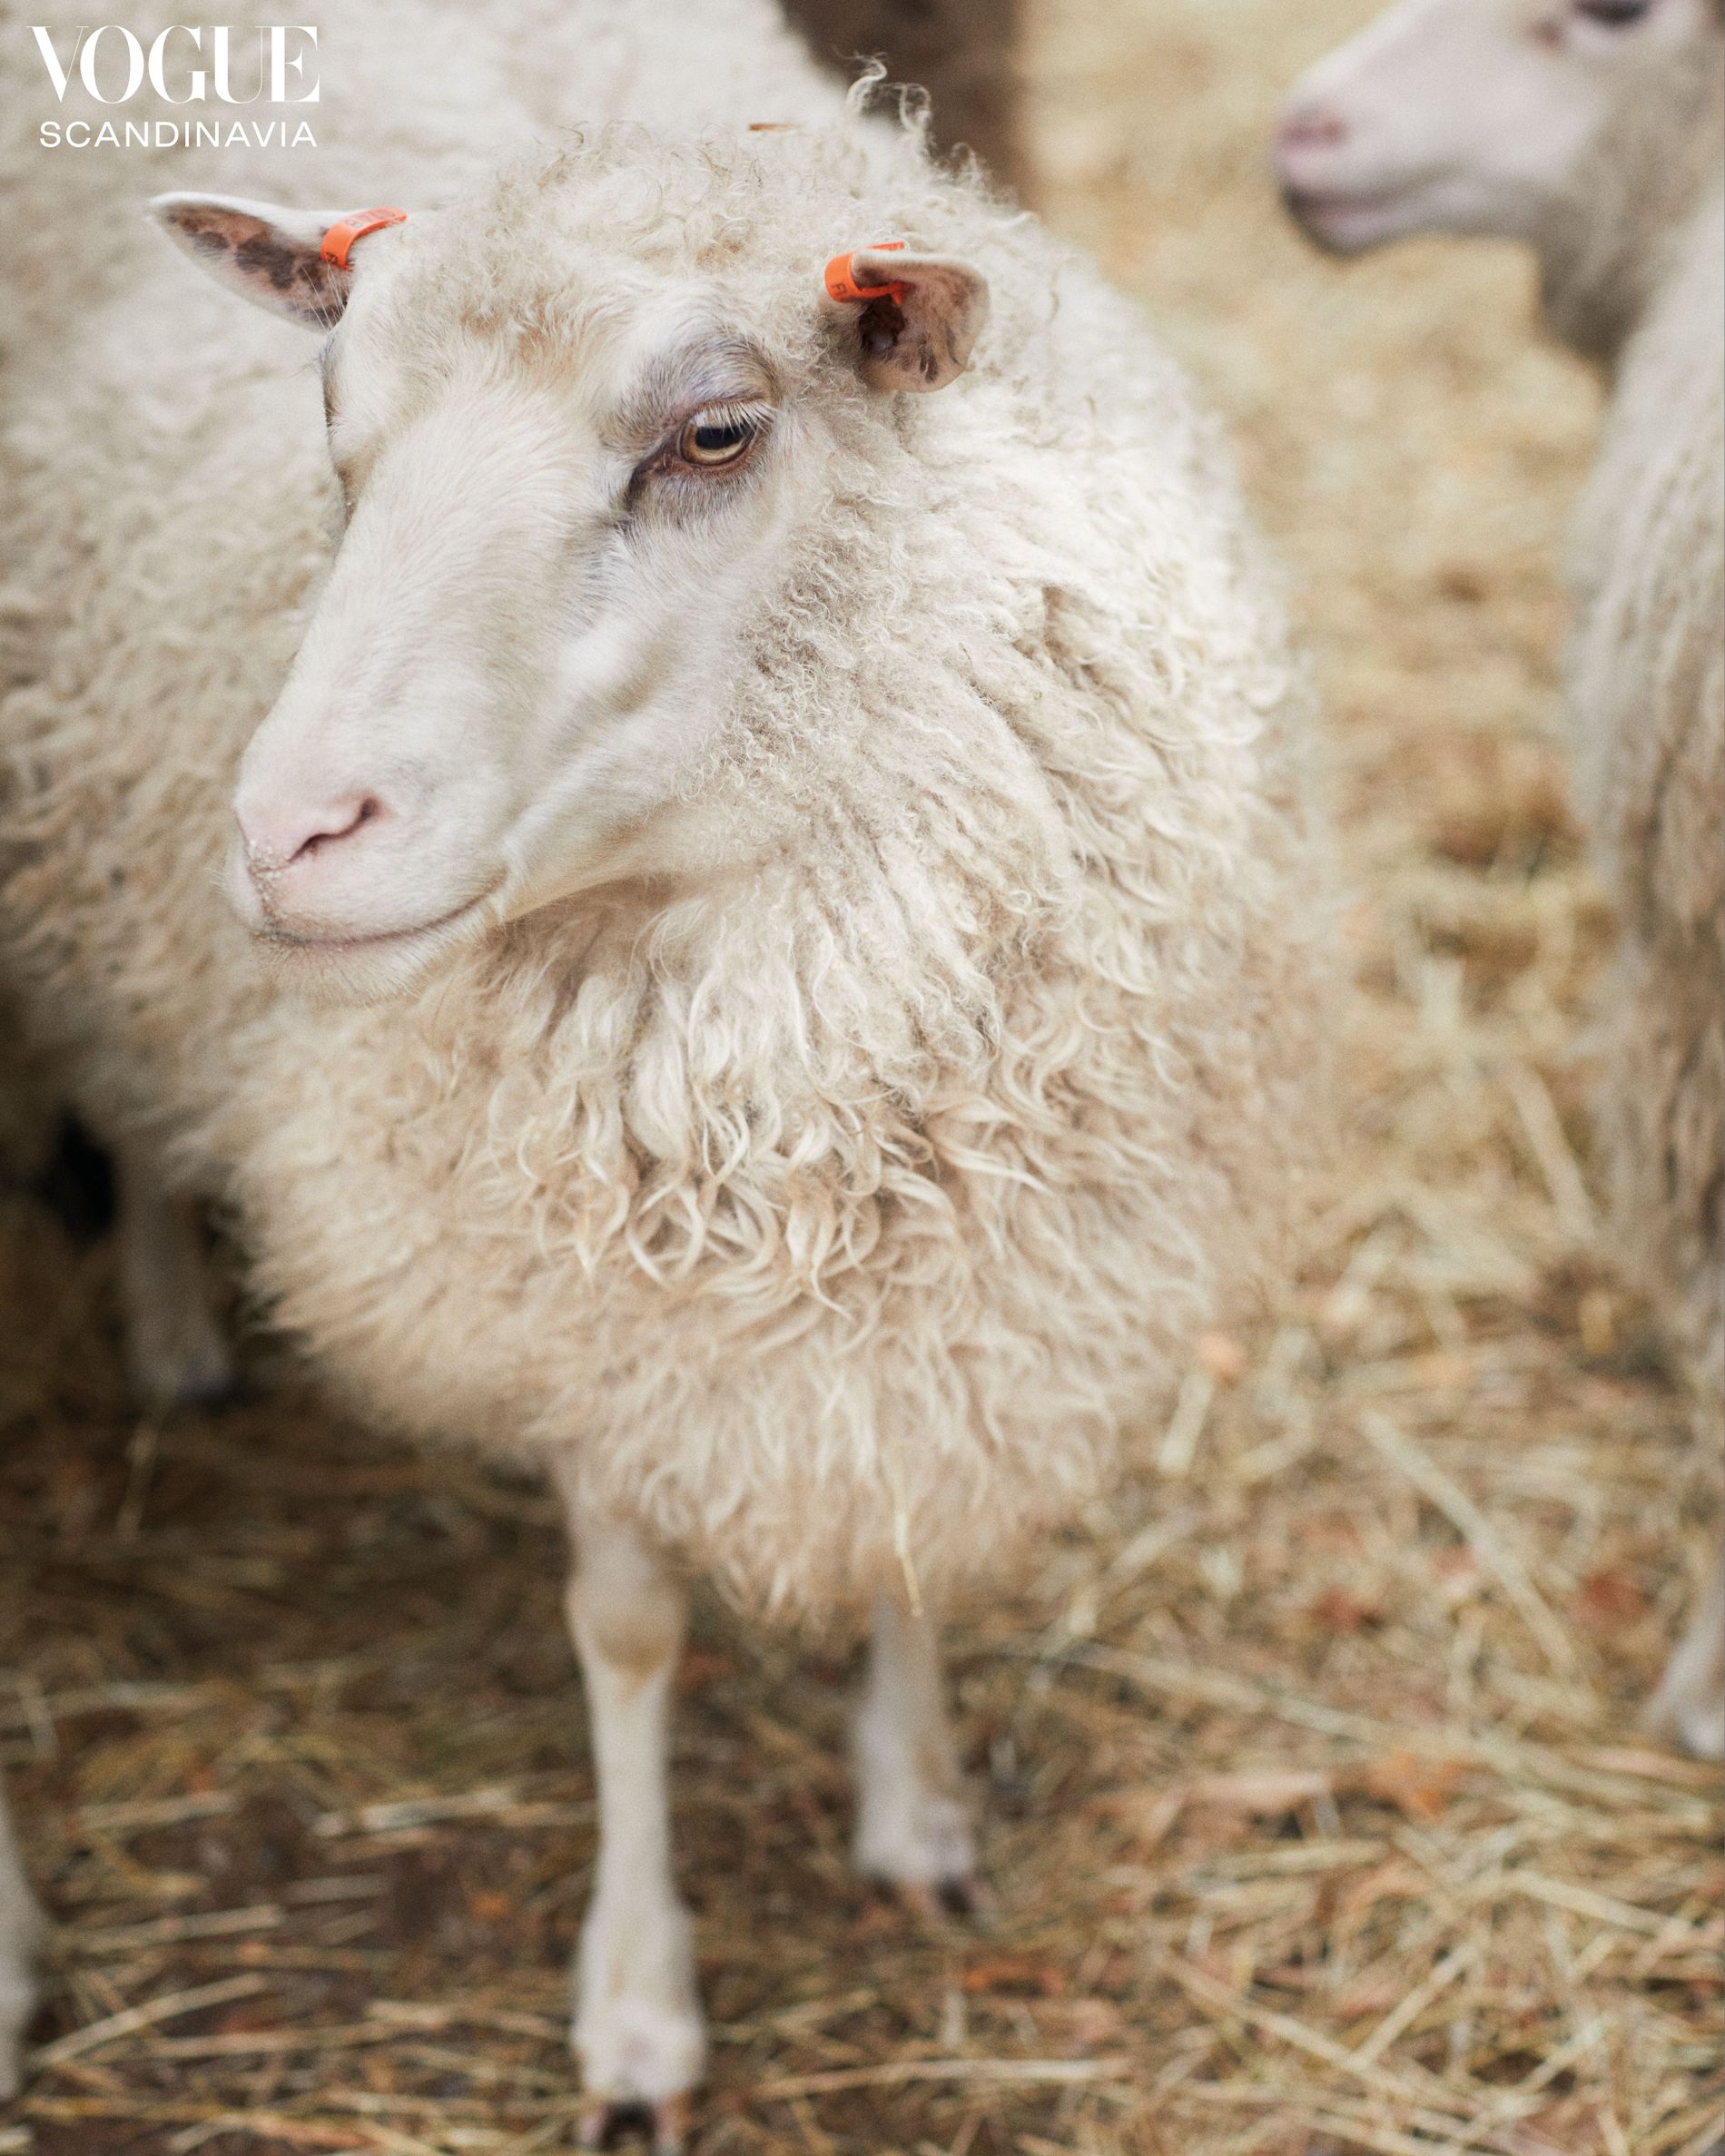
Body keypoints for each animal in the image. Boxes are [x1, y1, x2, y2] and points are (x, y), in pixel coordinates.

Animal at [0, 0, 1328, 2130]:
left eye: (714, 435)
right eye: (333, 427)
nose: (289, 831)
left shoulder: (956, 1275)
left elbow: (902, 1521)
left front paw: (917, 1810)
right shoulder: (581, 1301)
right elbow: (623, 1632)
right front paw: (636, 2000)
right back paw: (171, 1324)